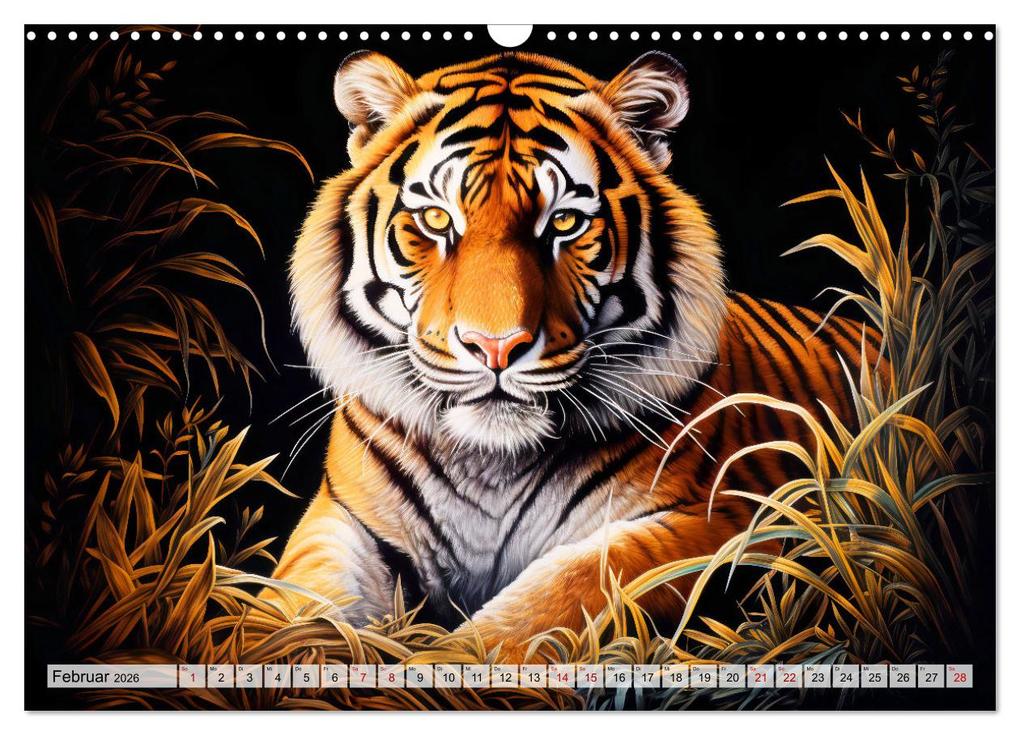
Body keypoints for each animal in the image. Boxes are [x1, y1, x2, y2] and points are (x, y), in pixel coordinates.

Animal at [267, 50, 881, 662]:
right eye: (437, 220)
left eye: (564, 222)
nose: (495, 346)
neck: (491, 463)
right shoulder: (340, 518)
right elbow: (297, 605)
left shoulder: (725, 515)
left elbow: (561, 594)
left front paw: (444, 664)